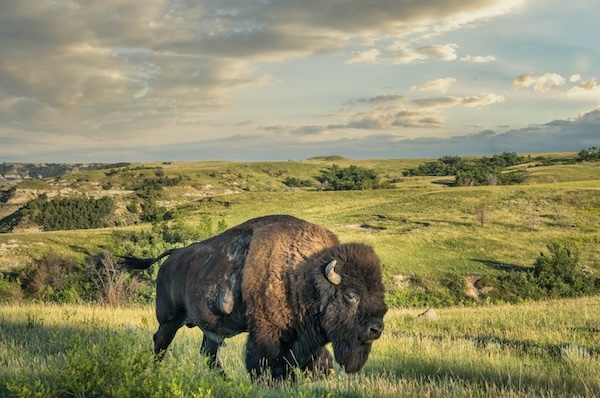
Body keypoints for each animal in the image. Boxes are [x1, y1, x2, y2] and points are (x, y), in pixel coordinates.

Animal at [120, 215, 390, 380]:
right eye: (351, 295)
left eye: (380, 292)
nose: (376, 329)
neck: (303, 274)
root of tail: (173, 256)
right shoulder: (266, 331)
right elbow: (264, 361)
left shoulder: (306, 338)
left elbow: (315, 362)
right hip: (169, 320)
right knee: (160, 342)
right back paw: (154, 371)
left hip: (210, 329)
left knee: (209, 354)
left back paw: (226, 380)